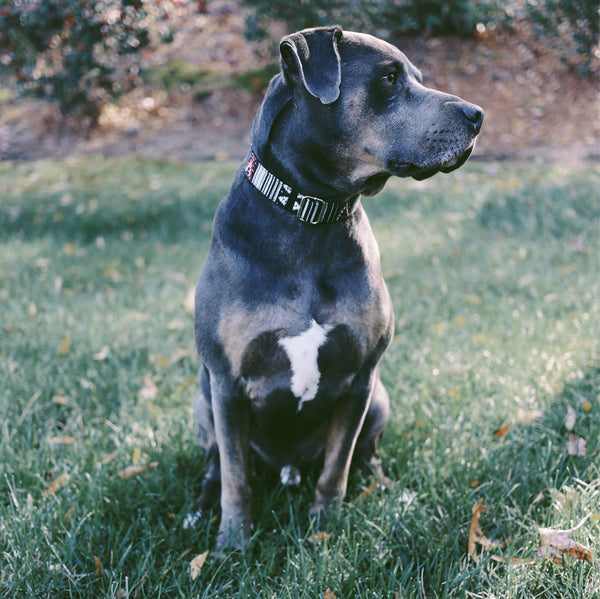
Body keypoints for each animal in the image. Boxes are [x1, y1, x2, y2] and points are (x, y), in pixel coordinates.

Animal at [185, 25, 486, 552]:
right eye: (389, 78)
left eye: (417, 77)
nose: (477, 115)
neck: (312, 215)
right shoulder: (227, 384)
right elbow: (236, 478)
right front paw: (233, 544)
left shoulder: (360, 377)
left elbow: (336, 467)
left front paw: (324, 529)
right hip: (202, 402)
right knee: (215, 464)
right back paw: (200, 508)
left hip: (380, 400)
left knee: (365, 456)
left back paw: (387, 490)